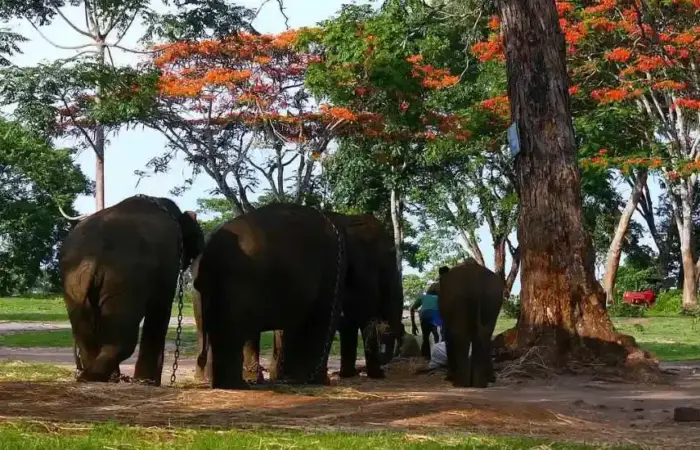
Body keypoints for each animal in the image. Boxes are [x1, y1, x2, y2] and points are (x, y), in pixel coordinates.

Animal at [59, 194, 204, 385]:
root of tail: (91, 256)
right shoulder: (170, 257)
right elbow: (161, 307)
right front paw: (148, 382)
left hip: (73, 282)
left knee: (85, 334)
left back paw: (95, 377)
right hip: (123, 280)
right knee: (123, 339)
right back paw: (99, 377)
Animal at [193, 203, 348, 389]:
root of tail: (210, 243)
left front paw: (295, 379)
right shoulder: (334, 269)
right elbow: (324, 318)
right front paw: (317, 381)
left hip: (204, 288)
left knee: (210, 328)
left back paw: (217, 382)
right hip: (239, 282)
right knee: (233, 328)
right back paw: (236, 385)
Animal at [438, 259, 504, 388]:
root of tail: (475, 283)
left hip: (457, 298)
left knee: (460, 335)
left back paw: (459, 383)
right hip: (491, 298)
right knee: (484, 334)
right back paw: (479, 384)